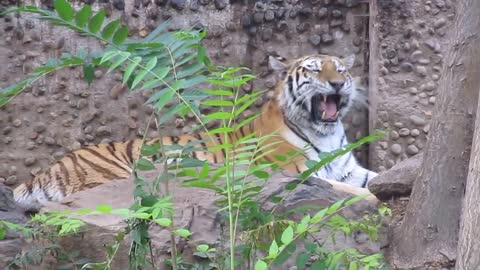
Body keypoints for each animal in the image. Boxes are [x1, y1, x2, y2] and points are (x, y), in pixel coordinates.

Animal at [13, 54, 378, 211]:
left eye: (340, 69)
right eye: (314, 70)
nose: (338, 83)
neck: (324, 132)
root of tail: (48, 169)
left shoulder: (350, 169)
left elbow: (372, 179)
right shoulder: (297, 172)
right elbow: (345, 190)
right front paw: (375, 200)